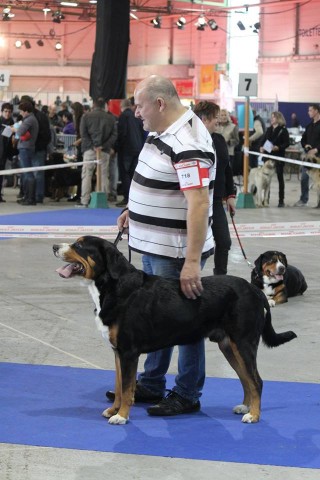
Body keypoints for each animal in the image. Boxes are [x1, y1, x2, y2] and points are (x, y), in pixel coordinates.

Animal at [53, 236, 298, 424]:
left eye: (80, 246)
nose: (55, 247)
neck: (114, 287)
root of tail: (254, 291)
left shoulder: (129, 352)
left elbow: (127, 387)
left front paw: (121, 416)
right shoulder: (118, 352)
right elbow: (119, 385)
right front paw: (113, 410)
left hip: (244, 343)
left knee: (256, 381)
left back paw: (253, 415)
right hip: (229, 346)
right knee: (245, 379)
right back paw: (245, 407)